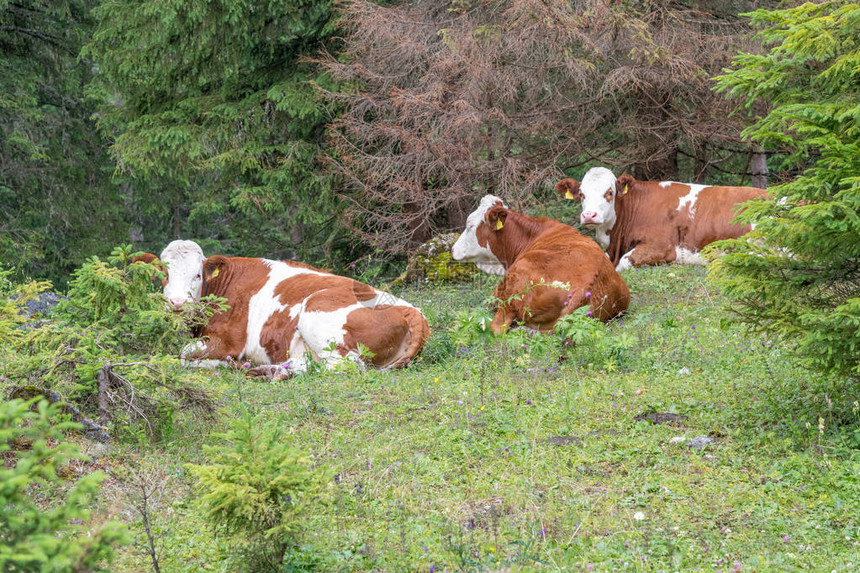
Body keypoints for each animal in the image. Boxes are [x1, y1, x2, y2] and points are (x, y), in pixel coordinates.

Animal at [146, 238, 436, 376]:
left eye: (197, 275)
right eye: (164, 274)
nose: (177, 303)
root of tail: (413, 312)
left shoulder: (229, 342)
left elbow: (184, 355)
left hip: (316, 310)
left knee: (346, 365)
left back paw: (270, 370)